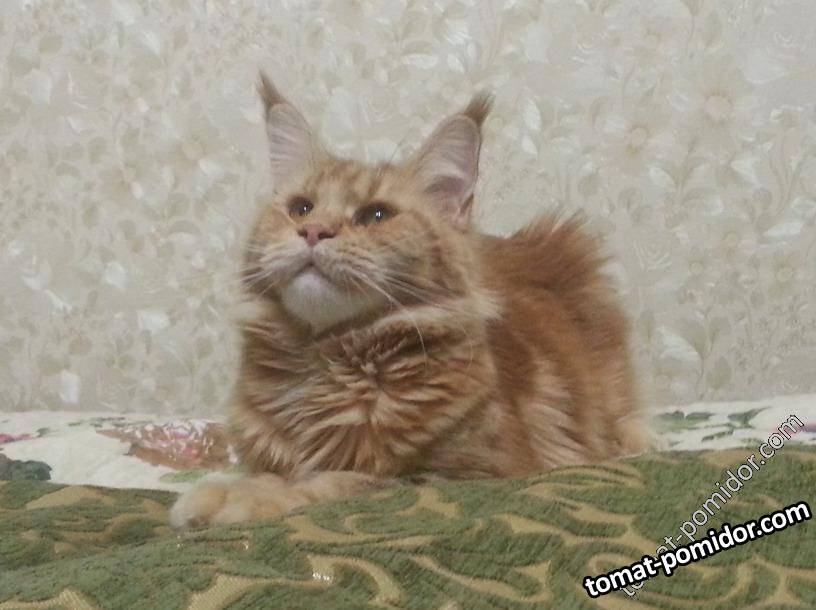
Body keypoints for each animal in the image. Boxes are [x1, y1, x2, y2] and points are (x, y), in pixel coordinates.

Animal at [170, 74, 648, 529]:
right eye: (301, 208)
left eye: (376, 215)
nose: (313, 231)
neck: (323, 364)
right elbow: (267, 471)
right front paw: (230, 487)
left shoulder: (474, 473)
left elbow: (343, 481)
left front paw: (245, 497)